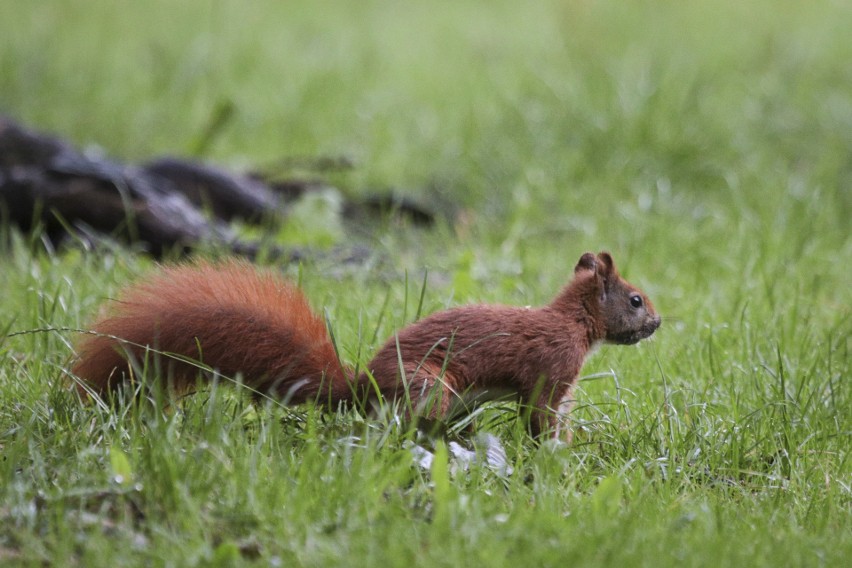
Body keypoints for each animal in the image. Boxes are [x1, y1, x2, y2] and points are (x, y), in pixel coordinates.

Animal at [71, 251, 660, 442]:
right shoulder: (550, 373)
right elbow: (541, 418)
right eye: (635, 299)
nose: (657, 322)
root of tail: (362, 389)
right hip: (432, 386)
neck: (572, 323)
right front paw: (556, 449)